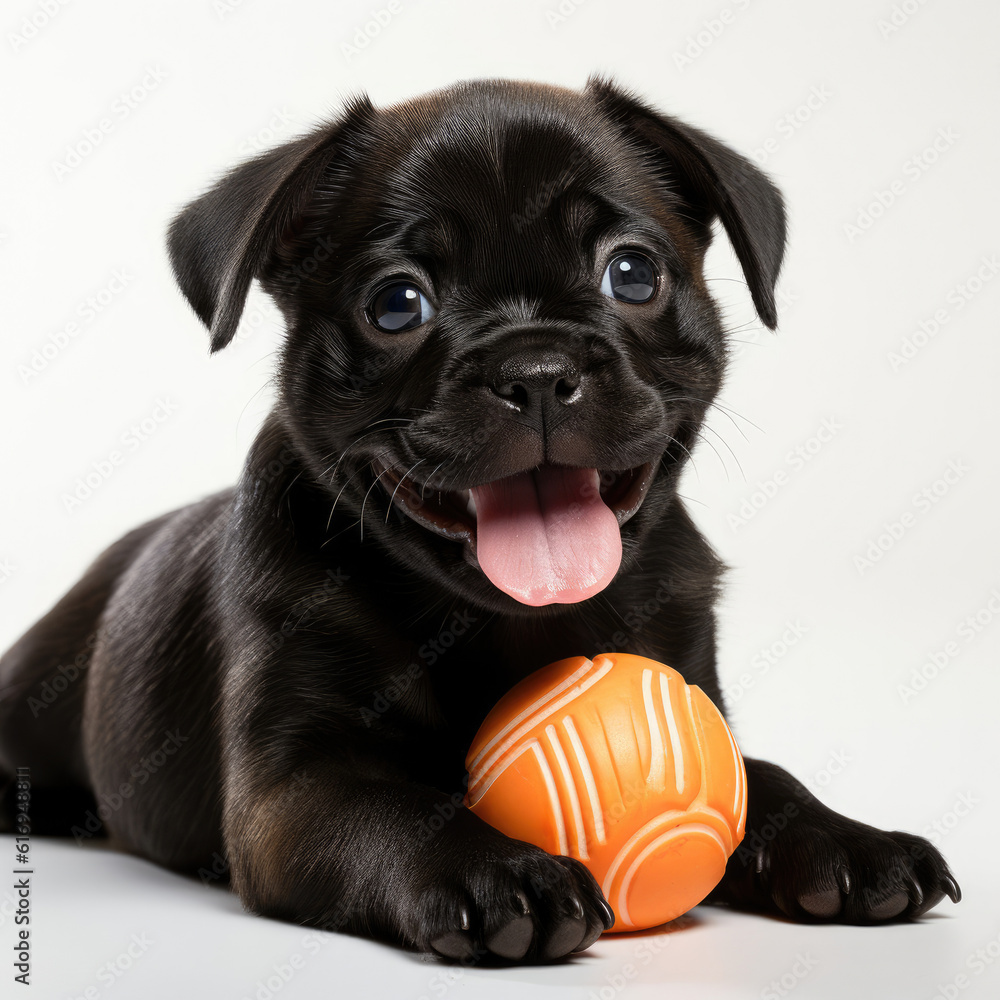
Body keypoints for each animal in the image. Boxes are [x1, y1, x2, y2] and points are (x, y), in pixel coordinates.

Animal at [0, 78, 960, 960]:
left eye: (633, 274)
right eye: (397, 304)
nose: (533, 368)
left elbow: (766, 778)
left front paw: (845, 838)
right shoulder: (293, 790)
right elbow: (398, 809)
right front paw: (498, 871)